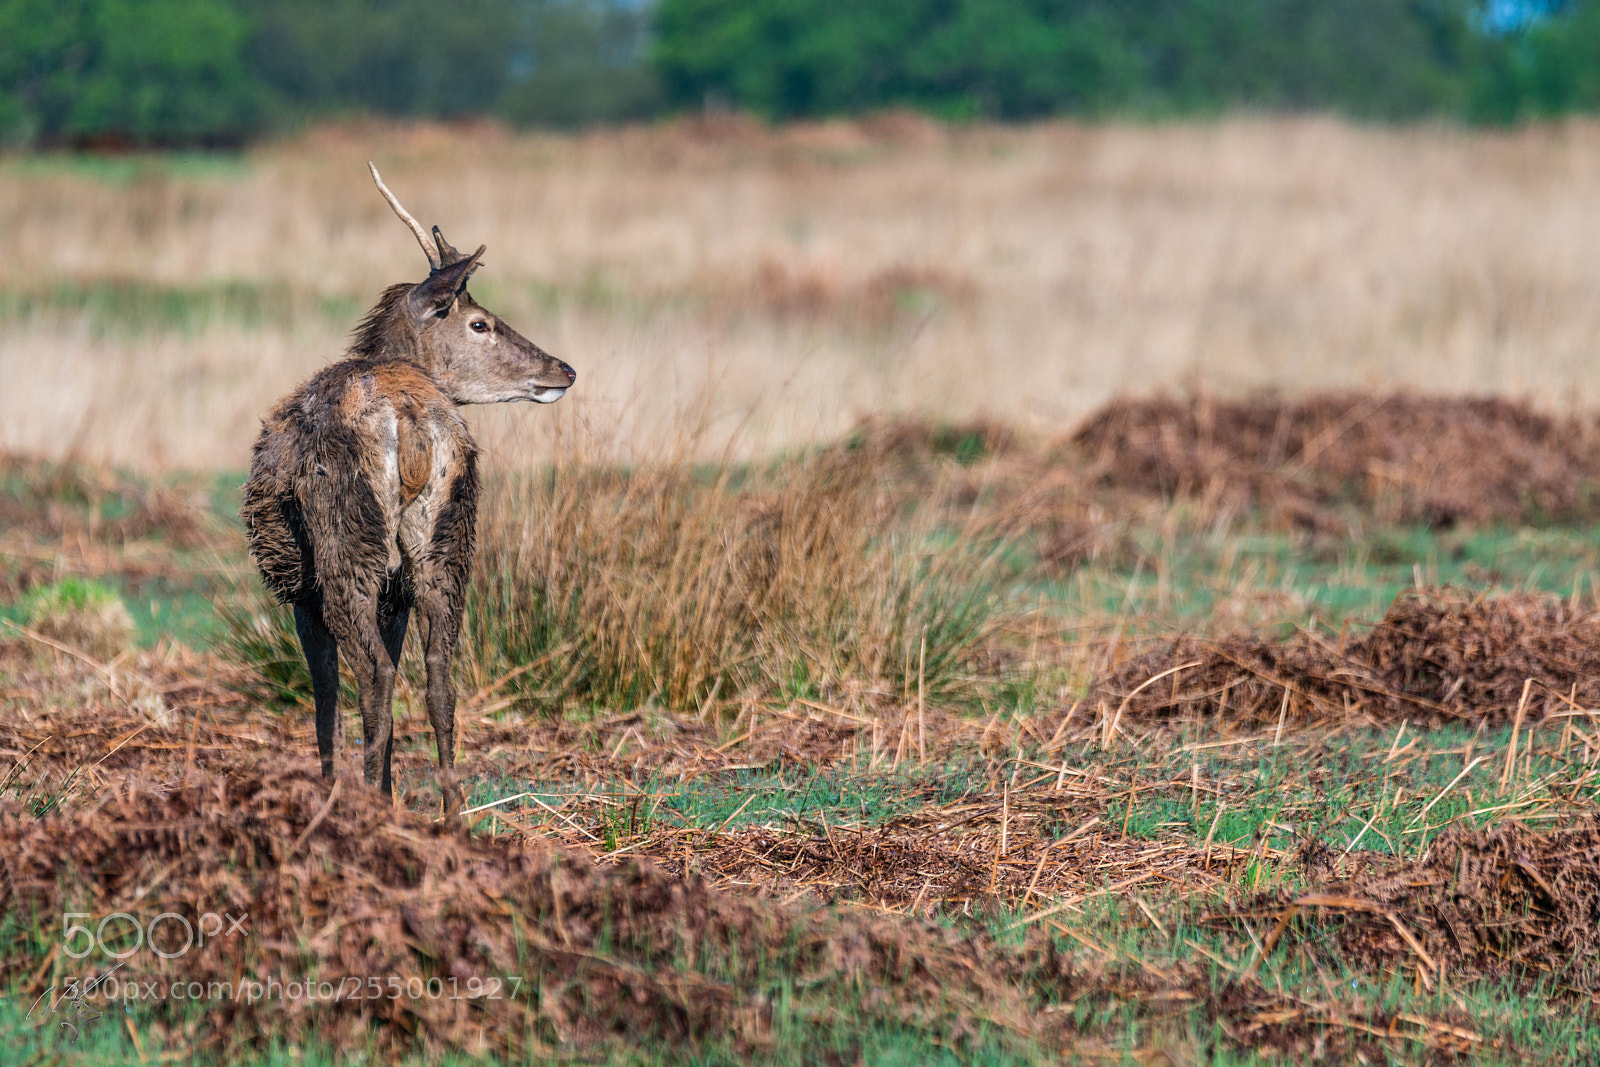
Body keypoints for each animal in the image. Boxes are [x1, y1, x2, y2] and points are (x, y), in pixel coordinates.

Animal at [241, 163, 575, 816]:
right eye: (480, 322)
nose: (565, 369)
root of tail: (413, 420)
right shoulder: (394, 591)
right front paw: (391, 792)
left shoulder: (300, 588)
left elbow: (324, 696)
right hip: (446, 541)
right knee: (439, 674)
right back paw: (450, 814)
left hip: (345, 545)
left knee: (371, 674)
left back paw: (359, 810)